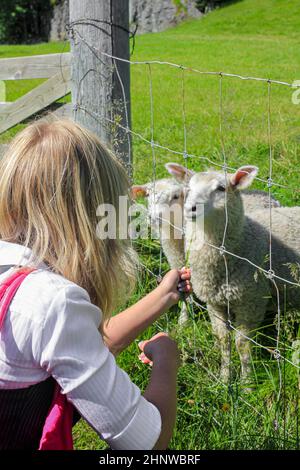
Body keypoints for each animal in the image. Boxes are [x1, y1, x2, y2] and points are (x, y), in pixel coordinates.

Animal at [182, 165, 300, 382]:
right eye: (189, 187)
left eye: (221, 188)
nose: (190, 209)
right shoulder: (215, 303)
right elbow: (223, 339)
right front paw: (224, 378)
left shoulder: (251, 302)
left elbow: (242, 345)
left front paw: (247, 383)